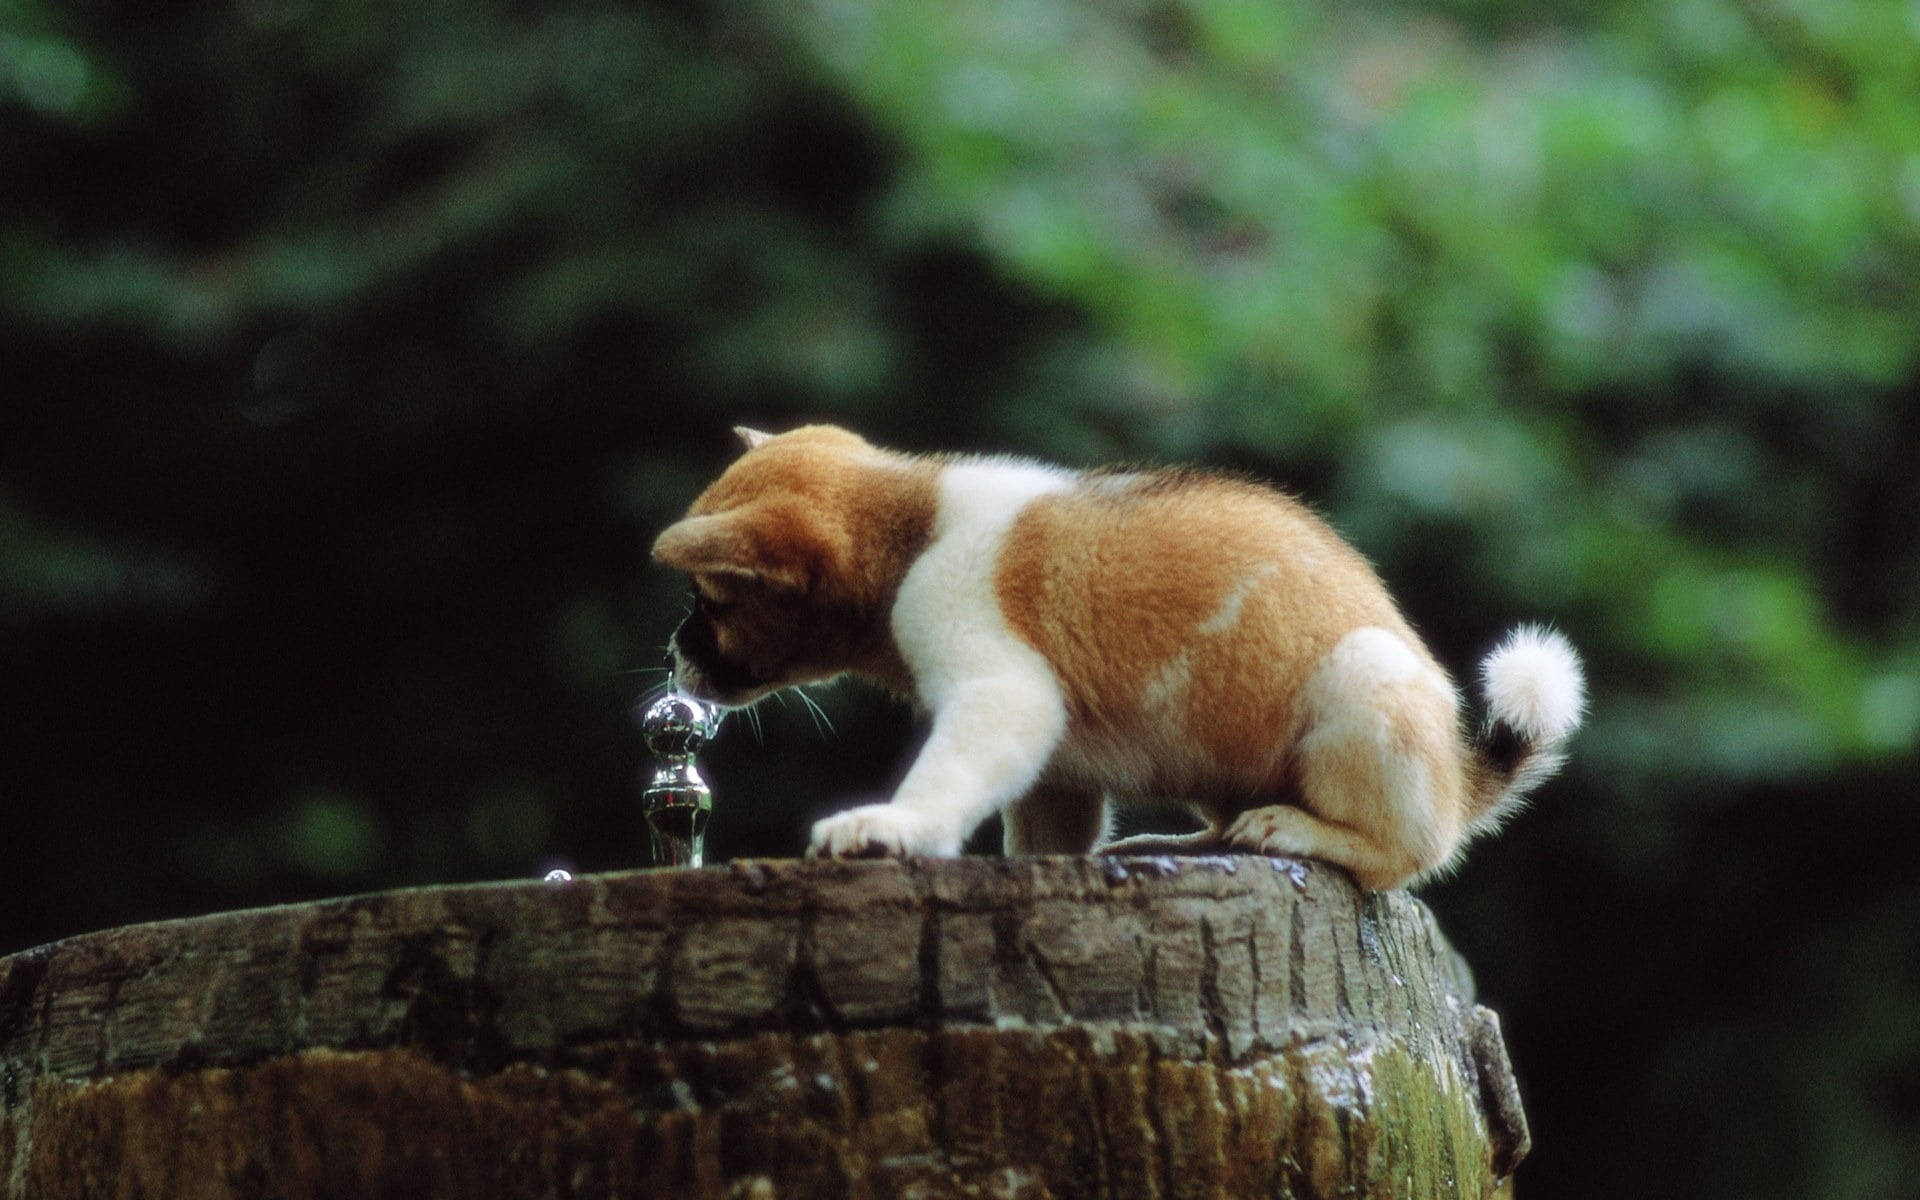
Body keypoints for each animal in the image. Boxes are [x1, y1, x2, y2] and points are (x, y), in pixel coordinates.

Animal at [652, 426, 1582, 883]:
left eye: (710, 600)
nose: (673, 653)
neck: (907, 529)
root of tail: (1461, 779)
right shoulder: (1057, 772)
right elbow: (1038, 839)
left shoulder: (1002, 695)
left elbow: (944, 780)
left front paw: (892, 827)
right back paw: (1190, 844)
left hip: (1362, 683)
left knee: (1409, 856)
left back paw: (1302, 831)